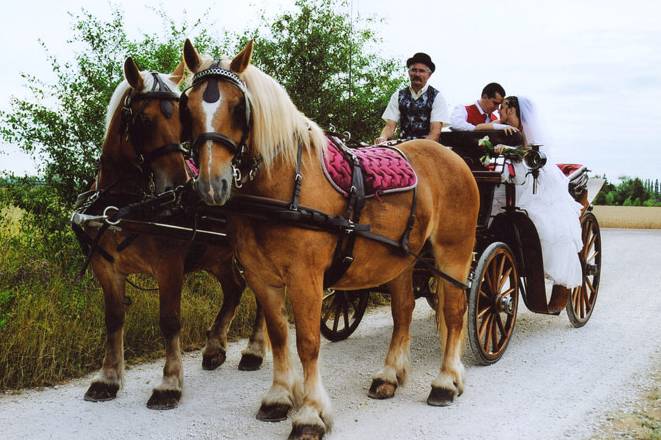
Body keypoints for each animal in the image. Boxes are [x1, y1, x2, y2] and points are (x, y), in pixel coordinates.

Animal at [81, 56, 266, 410]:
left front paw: (169, 384)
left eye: (181, 119)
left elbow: (169, 320)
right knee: (234, 287)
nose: (181, 184)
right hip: (216, 256)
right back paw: (215, 347)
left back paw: (253, 350)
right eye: (143, 120)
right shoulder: (106, 268)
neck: (125, 205)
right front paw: (107, 379)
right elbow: (113, 318)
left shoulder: (169, 267)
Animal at [180, 39, 480, 438]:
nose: (212, 185)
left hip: (454, 254)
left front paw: (310, 414)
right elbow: (279, 335)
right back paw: (389, 375)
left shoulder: (306, 278)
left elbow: (307, 342)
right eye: (188, 107)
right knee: (403, 311)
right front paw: (278, 397)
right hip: (403, 258)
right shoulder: (262, 277)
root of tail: (451, 157)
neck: (286, 184)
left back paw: (446, 382)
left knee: (455, 311)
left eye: (237, 106)